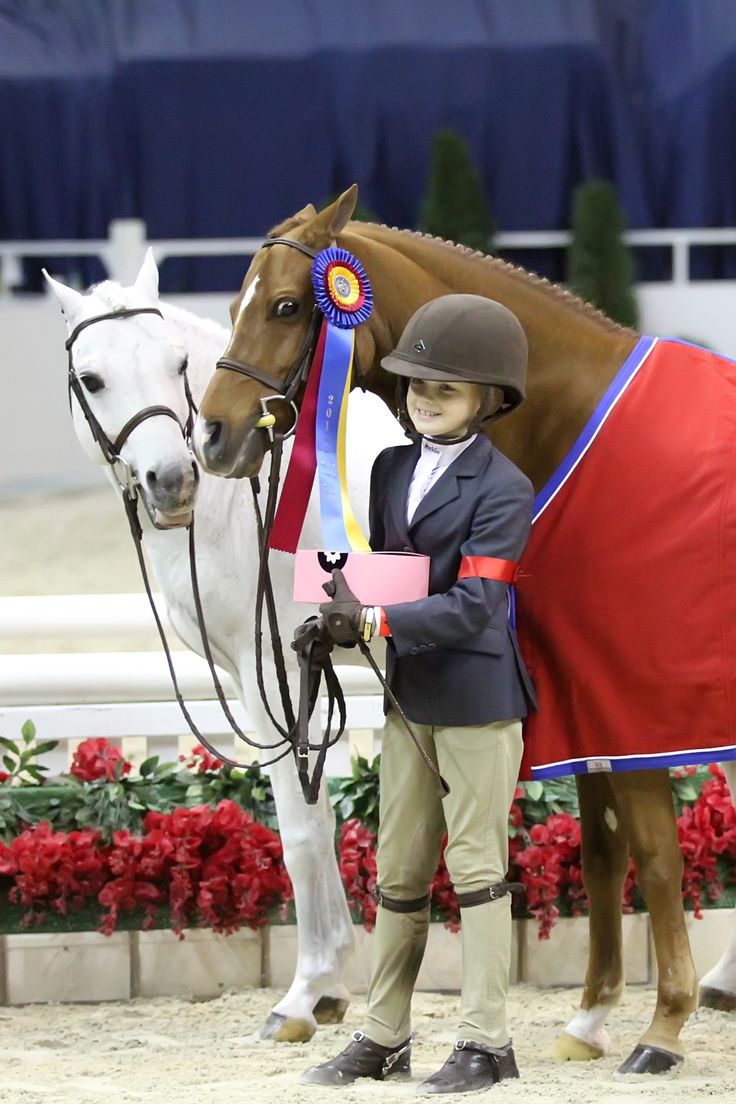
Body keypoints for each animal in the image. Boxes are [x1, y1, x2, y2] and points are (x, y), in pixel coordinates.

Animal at [46, 252, 403, 1042]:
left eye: (176, 363)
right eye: (93, 378)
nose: (173, 480)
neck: (250, 502)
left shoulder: (273, 672)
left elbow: (300, 833)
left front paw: (303, 994)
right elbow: (321, 816)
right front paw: (330, 985)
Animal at [192, 187, 706, 1068]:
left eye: (289, 305)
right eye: (233, 306)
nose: (215, 435)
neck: (573, 423)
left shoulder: (629, 701)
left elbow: (656, 852)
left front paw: (663, 1026)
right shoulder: (578, 695)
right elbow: (605, 847)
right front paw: (591, 1017)